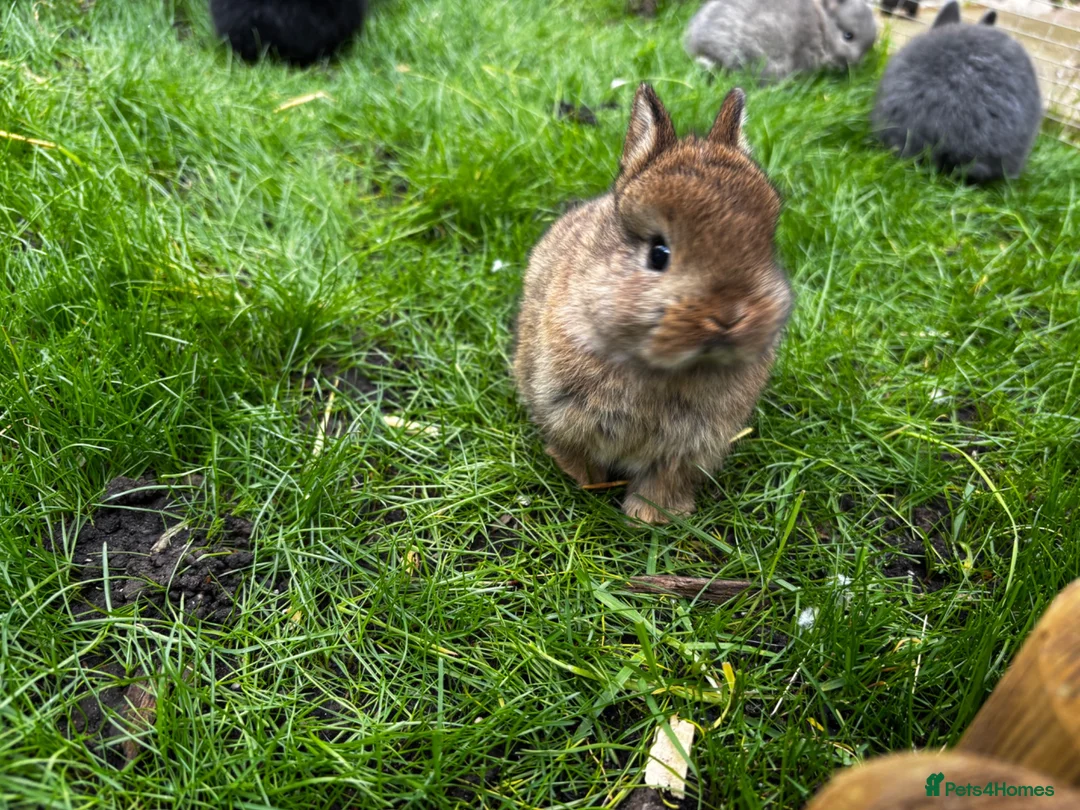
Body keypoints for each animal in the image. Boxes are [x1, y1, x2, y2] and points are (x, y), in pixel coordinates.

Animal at [513, 85, 793, 525]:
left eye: (764, 246)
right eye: (659, 253)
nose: (728, 316)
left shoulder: (692, 444)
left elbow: (665, 477)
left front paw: (650, 516)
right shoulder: (562, 408)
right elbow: (574, 449)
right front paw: (585, 480)